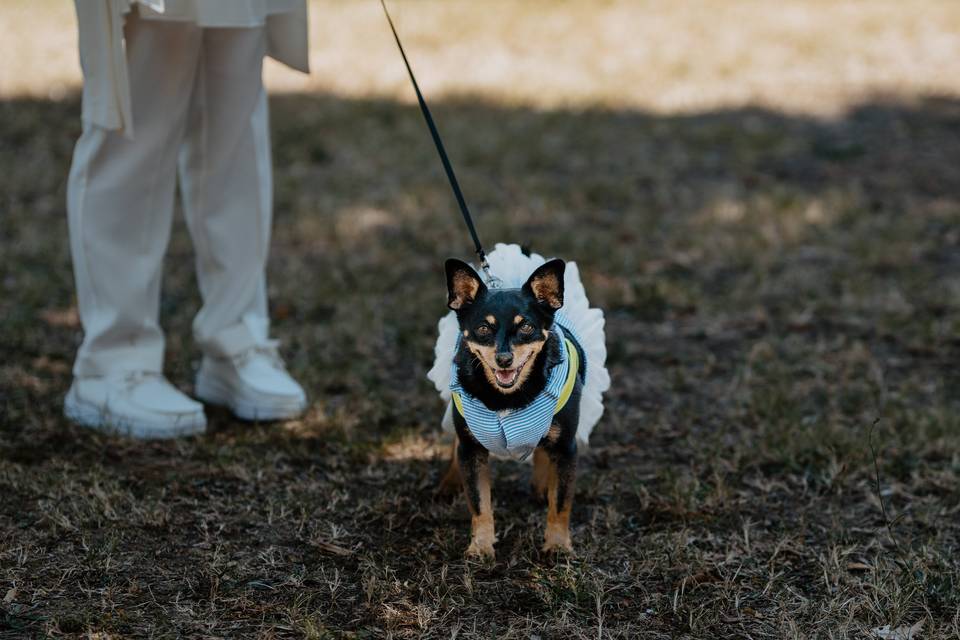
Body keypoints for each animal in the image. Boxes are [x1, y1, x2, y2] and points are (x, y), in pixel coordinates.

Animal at [428, 242, 608, 556]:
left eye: (526, 327)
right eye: (483, 328)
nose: (504, 359)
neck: (507, 397)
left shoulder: (566, 447)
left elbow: (561, 503)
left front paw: (557, 546)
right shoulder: (472, 449)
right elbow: (479, 503)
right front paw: (480, 547)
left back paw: (541, 486)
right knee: (455, 445)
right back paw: (448, 484)